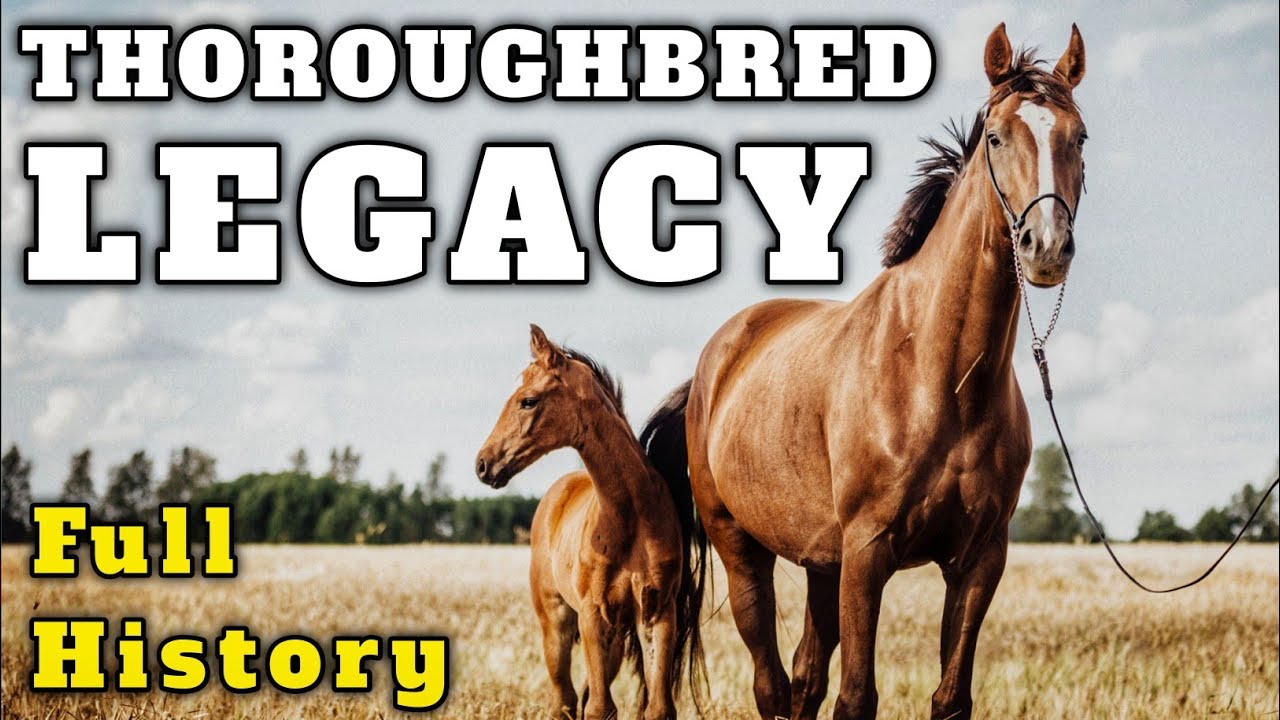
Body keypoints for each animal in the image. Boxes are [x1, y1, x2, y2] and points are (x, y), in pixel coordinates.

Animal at [475, 325, 708, 720]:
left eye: (528, 400)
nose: (483, 464)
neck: (628, 516)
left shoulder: (657, 614)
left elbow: (656, 707)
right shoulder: (592, 614)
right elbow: (599, 708)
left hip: (613, 639)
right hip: (556, 622)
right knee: (564, 699)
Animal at [640, 23, 1088, 719]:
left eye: (1080, 136)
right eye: (996, 136)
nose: (1046, 246)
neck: (939, 378)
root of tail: (714, 363)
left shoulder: (979, 559)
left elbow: (949, 696)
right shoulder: (867, 553)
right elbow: (856, 697)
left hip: (822, 562)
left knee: (803, 677)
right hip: (744, 551)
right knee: (771, 682)